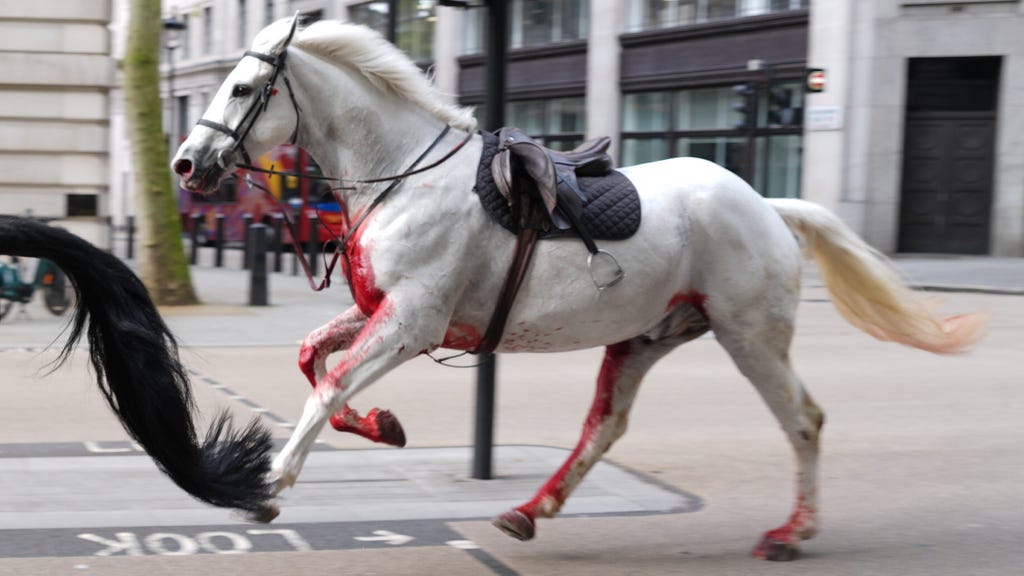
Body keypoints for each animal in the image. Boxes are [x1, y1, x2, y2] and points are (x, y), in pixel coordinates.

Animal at [170, 18, 984, 561]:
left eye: (243, 87)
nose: (185, 163)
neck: (402, 177)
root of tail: (765, 204)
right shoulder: (383, 312)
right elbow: (313, 359)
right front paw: (382, 425)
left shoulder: (411, 322)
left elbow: (330, 384)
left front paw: (271, 485)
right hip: (645, 338)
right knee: (605, 427)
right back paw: (533, 509)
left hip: (750, 335)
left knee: (804, 421)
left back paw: (793, 530)